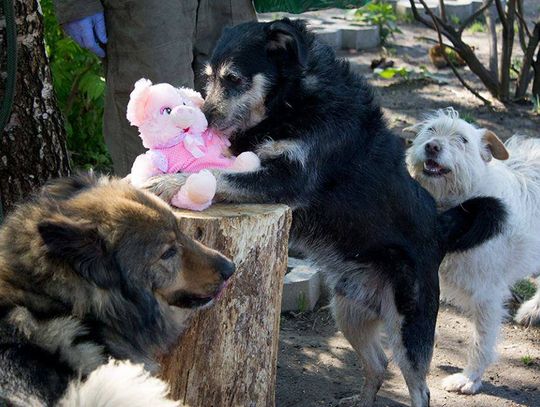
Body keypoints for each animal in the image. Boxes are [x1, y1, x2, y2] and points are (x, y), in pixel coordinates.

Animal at [146, 19, 504, 407]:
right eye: (208, 77)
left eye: (234, 79)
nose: (204, 121)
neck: (294, 99)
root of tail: (439, 228)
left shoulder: (289, 178)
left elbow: (216, 175)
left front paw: (168, 183)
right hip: (347, 309)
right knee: (377, 364)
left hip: (409, 326)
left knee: (419, 389)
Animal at [404, 107, 540, 396]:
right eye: (430, 130)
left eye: (462, 140)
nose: (432, 146)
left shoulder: (488, 296)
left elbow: (481, 342)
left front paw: (469, 378)